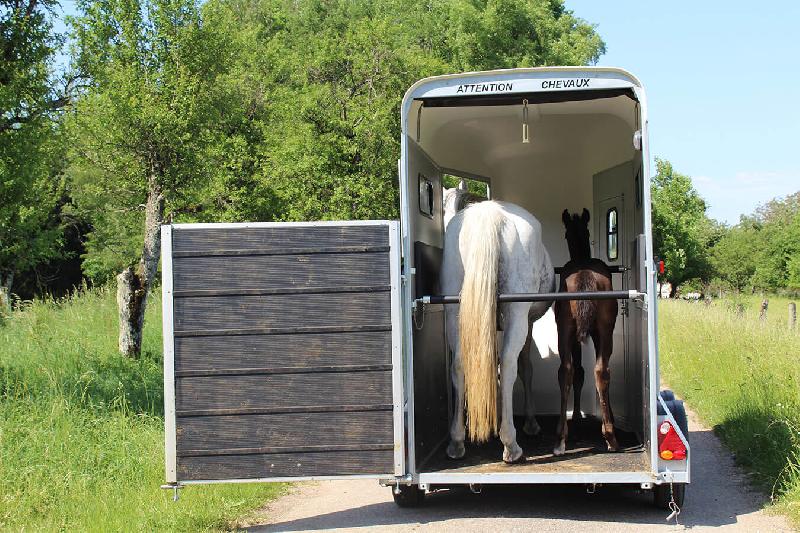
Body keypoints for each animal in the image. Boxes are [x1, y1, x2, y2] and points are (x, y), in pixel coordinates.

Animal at [441, 186, 555, 463]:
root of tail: (489, 215)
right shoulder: (528, 323)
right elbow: (524, 368)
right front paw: (530, 423)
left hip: (454, 312)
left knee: (459, 364)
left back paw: (457, 441)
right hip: (517, 314)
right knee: (510, 364)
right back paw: (511, 443)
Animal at [553, 209, 620, 456]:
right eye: (567, 233)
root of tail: (585, 275)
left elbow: (578, 372)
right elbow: (582, 372)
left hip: (565, 330)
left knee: (567, 370)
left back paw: (561, 438)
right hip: (603, 330)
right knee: (599, 370)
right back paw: (609, 435)